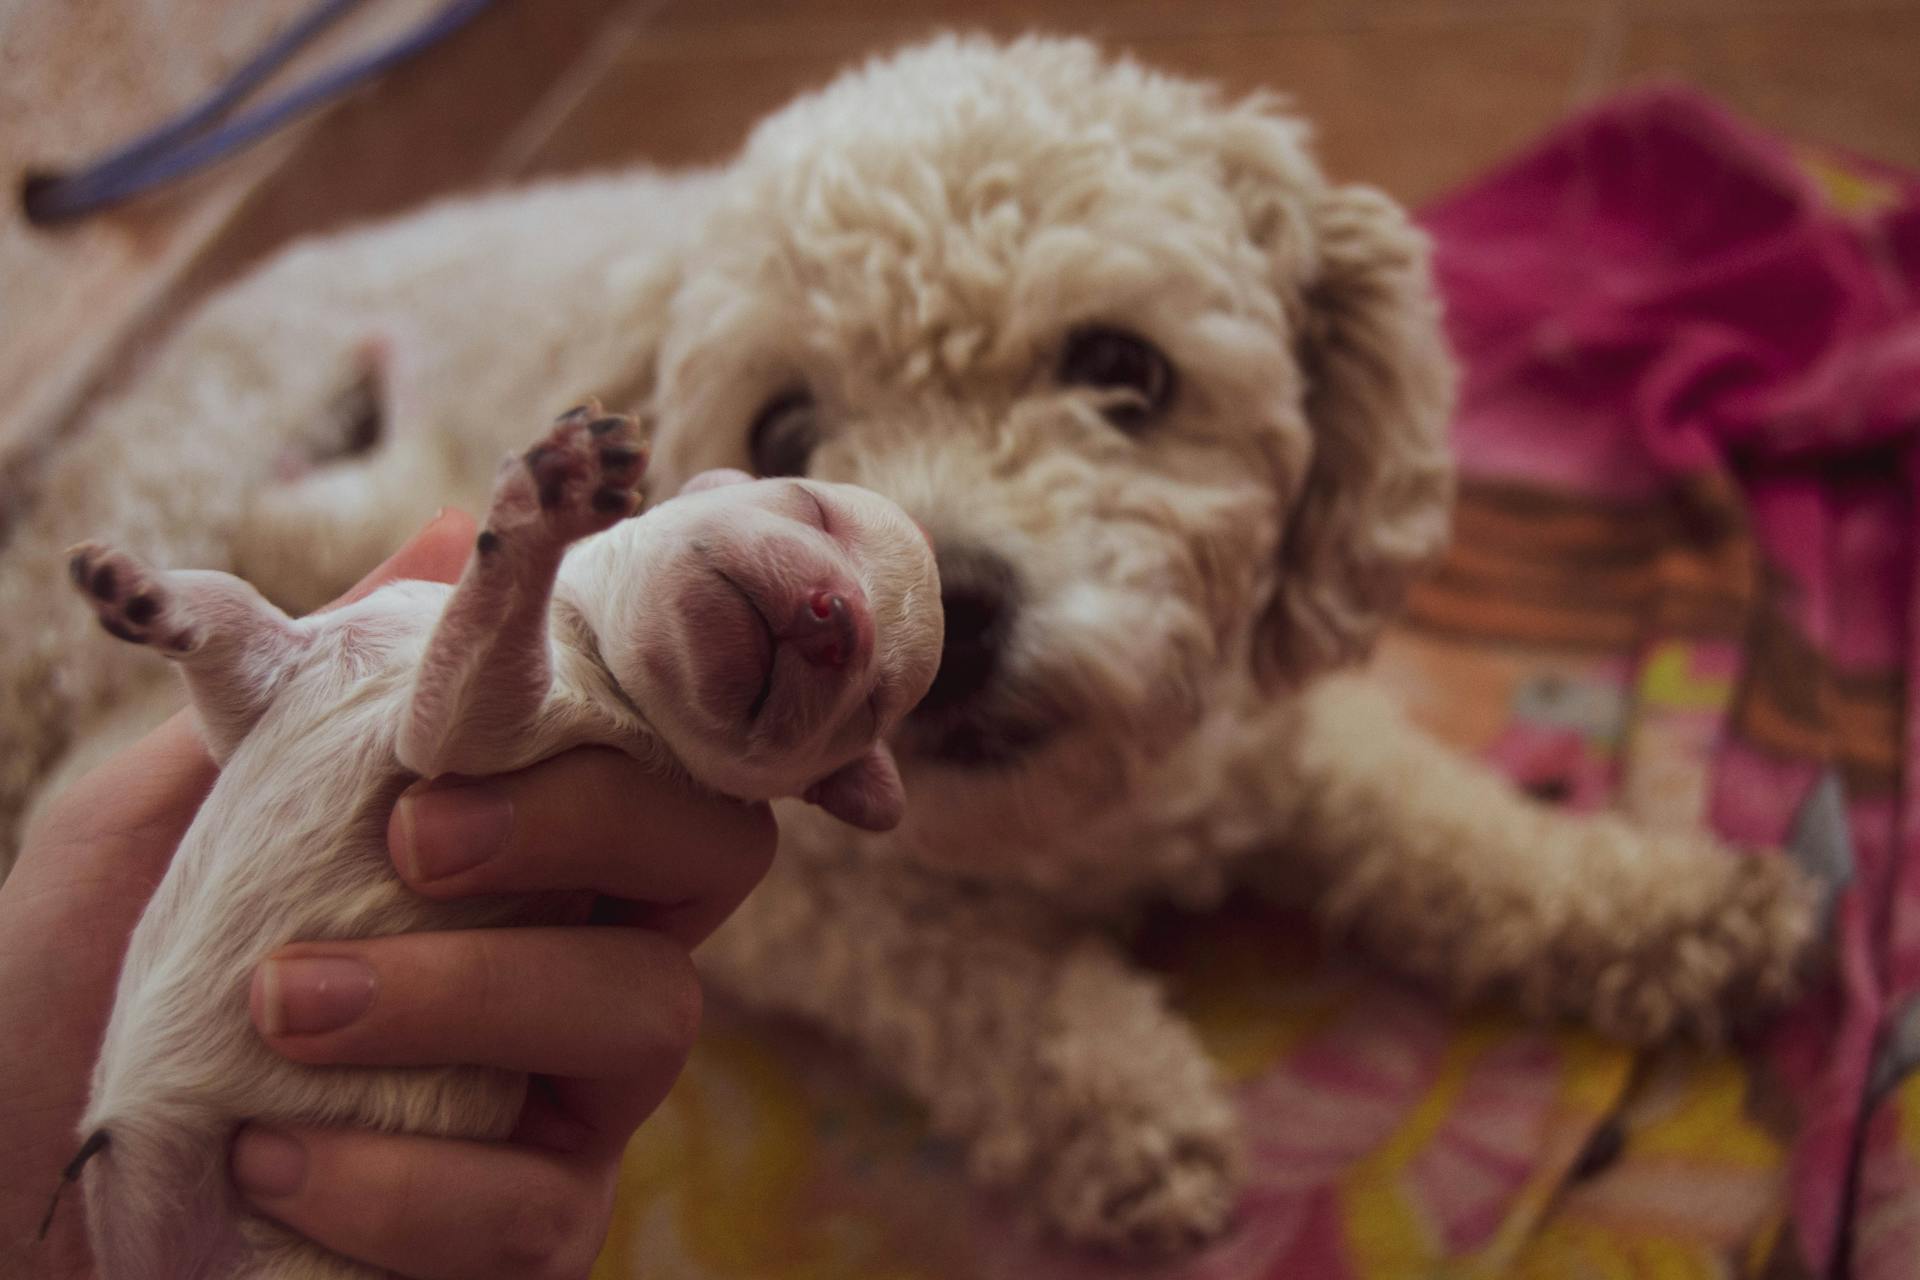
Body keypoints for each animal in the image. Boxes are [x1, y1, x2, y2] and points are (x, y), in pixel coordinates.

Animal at [52, 408, 936, 1280]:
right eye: (810, 505)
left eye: (872, 702)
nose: (841, 620)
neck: (585, 637)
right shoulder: (303, 665)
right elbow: (237, 624)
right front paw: (140, 587)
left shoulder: (477, 730)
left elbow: (481, 659)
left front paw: (549, 505)